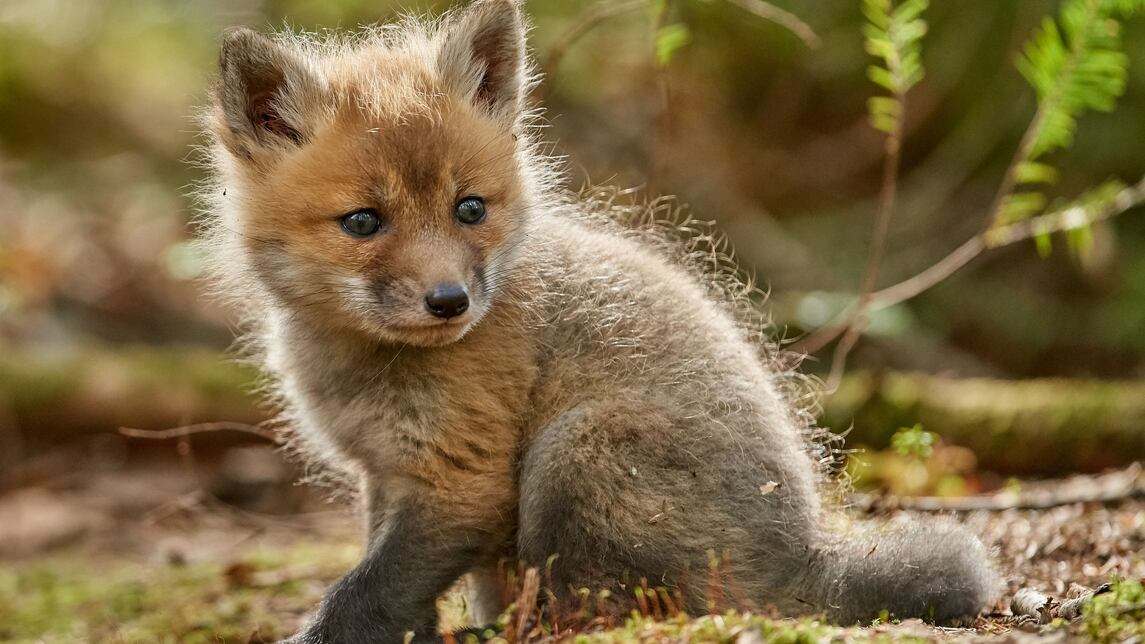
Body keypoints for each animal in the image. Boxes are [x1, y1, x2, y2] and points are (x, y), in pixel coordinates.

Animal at [197, 0, 997, 641]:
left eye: (469, 208)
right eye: (363, 221)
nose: (450, 301)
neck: (365, 363)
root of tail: (801, 557)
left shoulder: (461, 478)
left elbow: (364, 590)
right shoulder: (385, 472)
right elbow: (390, 583)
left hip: (578, 450)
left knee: (608, 610)